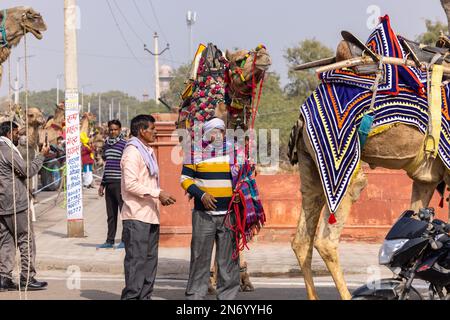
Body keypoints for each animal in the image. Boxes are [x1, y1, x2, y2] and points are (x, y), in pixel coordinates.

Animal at [286, 1, 450, 300]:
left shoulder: (426, 178)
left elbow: (416, 220)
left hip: (309, 163)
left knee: (301, 238)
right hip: (343, 164)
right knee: (326, 239)